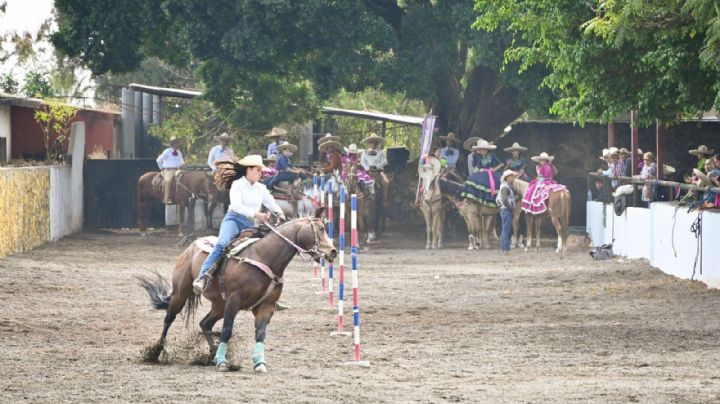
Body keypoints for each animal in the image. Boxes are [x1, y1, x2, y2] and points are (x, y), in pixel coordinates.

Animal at [137, 211, 338, 372]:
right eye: (321, 228)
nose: (333, 252)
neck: (264, 256)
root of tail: (191, 246)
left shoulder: (266, 307)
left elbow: (260, 334)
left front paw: (259, 363)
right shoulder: (234, 300)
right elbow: (227, 330)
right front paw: (222, 362)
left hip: (219, 304)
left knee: (205, 324)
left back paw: (211, 355)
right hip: (181, 293)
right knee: (169, 319)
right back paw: (156, 352)